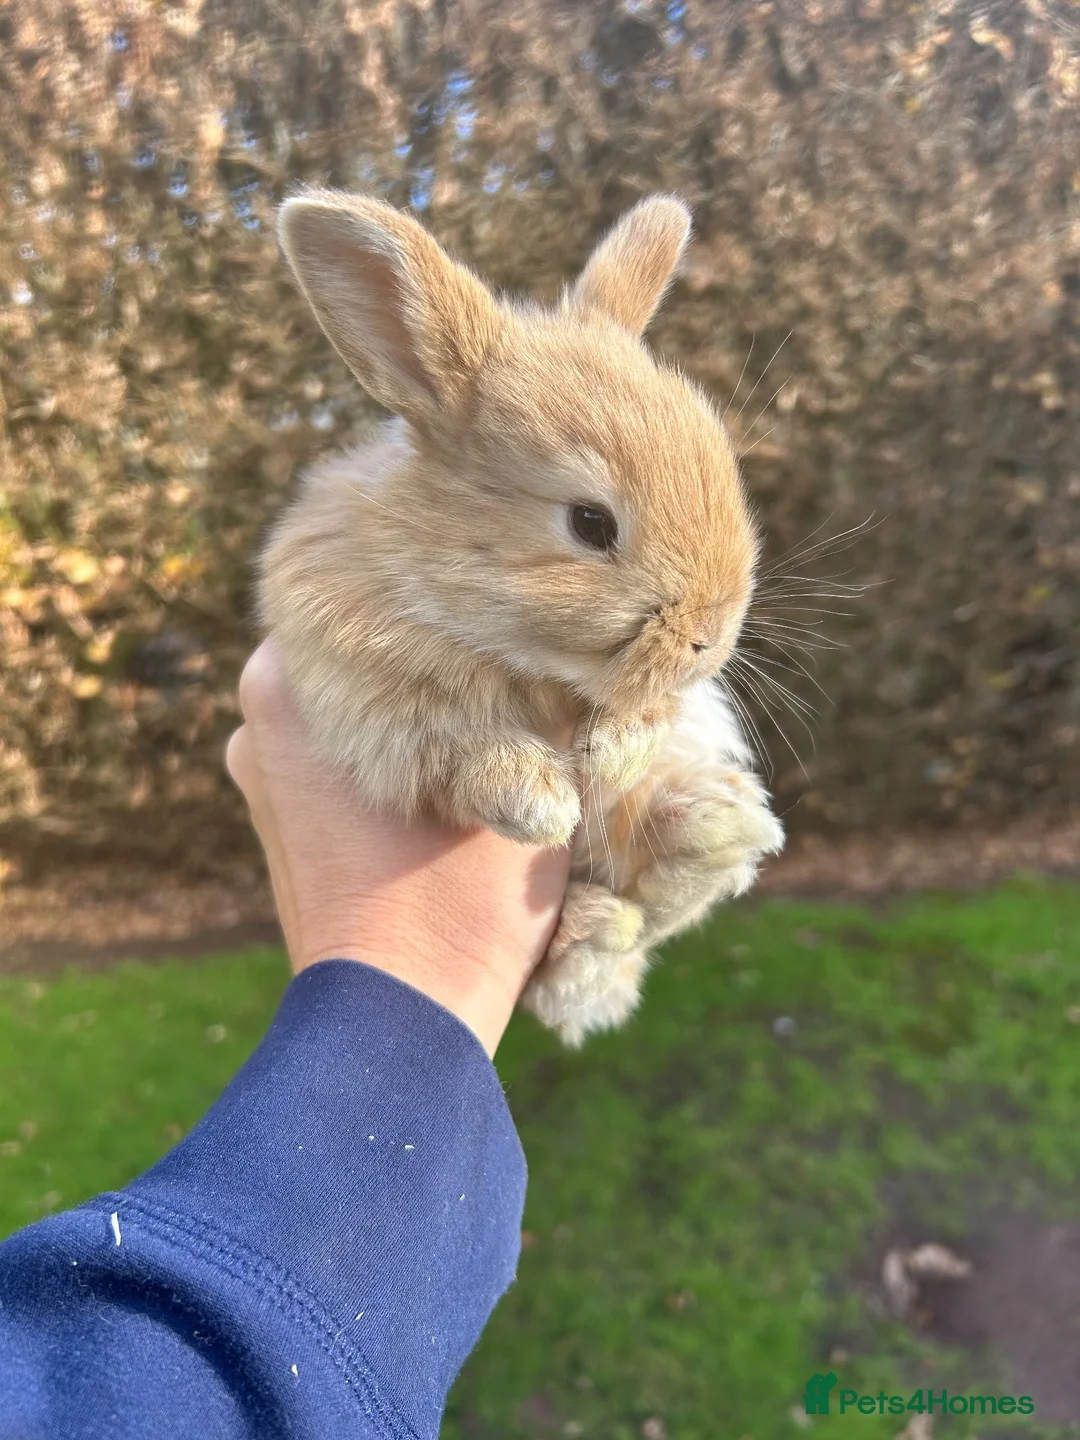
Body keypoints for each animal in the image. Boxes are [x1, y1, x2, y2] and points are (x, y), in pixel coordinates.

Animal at [257, 185, 785, 1047]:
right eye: (590, 523)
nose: (709, 644)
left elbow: (648, 723)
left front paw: (610, 754)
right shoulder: (374, 706)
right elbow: (463, 754)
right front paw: (541, 803)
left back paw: (710, 832)